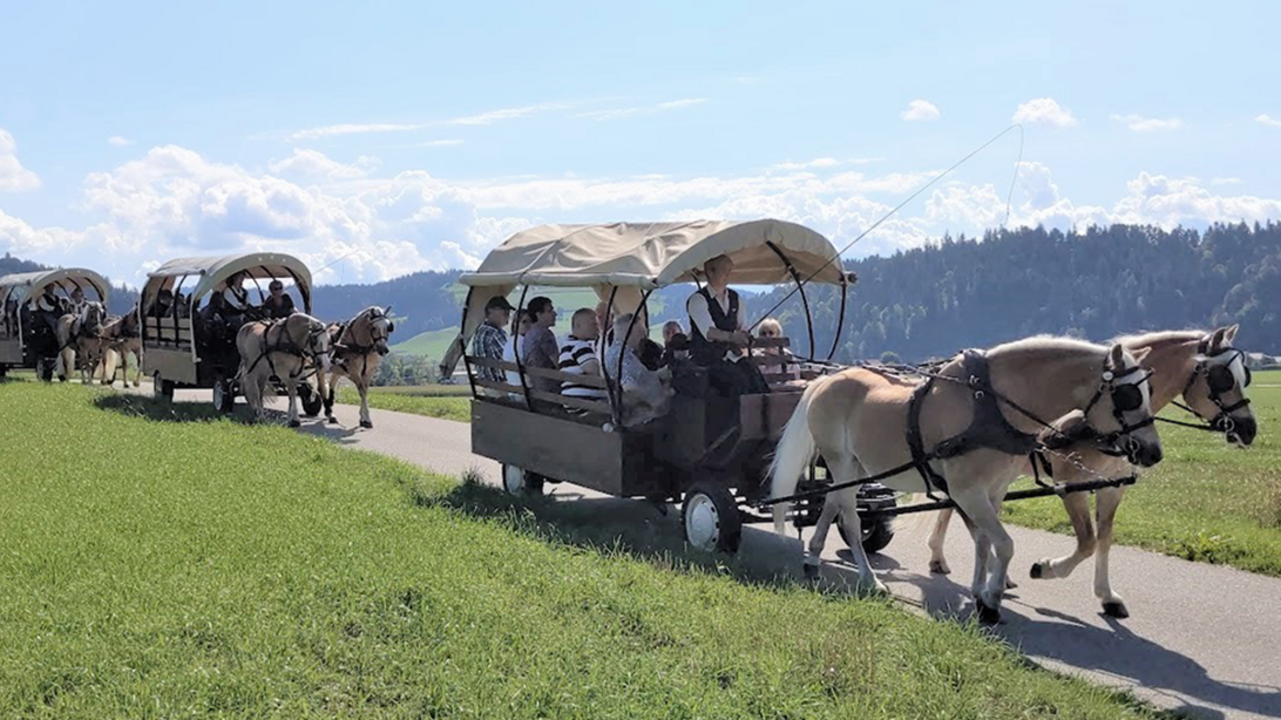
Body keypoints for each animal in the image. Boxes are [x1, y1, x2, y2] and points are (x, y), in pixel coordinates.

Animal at [763, 335, 1168, 622]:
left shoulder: (994, 489)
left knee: (832, 501)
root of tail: (826, 381)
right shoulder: (967, 490)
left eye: (1150, 391)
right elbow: (1003, 543)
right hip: (842, 460)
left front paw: (981, 590)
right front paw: (991, 601)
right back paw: (870, 580)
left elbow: (985, 542)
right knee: (847, 514)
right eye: (1129, 395)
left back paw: (813, 558)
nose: (1152, 452)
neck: (990, 405)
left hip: (860, 467)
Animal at [927, 322, 1255, 614]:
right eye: (1223, 377)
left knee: (952, 509)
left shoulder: (1112, 486)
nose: (1249, 429)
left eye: (1245, 375)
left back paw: (949, 560)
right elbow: (1087, 542)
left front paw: (1107, 595)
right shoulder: (1071, 486)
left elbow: (1105, 539)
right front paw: (1047, 568)